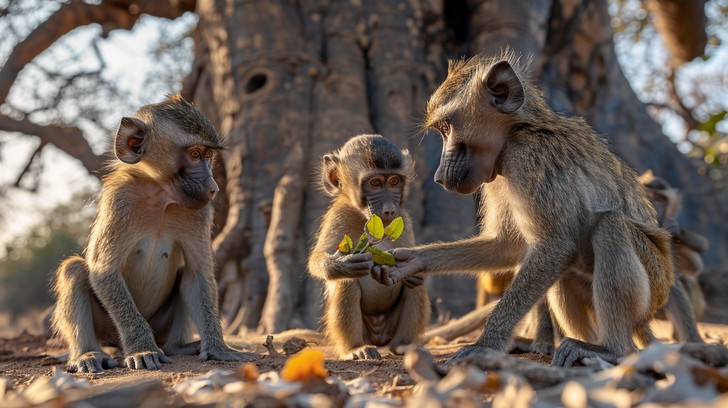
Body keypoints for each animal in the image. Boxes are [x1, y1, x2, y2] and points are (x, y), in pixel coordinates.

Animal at [51, 94, 254, 373]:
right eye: (194, 154)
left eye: (209, 155)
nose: (213, 187)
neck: (160, 196)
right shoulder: (120, 199)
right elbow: (104, 272)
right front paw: (142, 349)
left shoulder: (199, 212)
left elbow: (197, 274)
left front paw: (218, 348)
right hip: (107, 327)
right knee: (74, 269)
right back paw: (88, 354)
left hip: (161, 326)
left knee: (184, 276)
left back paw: (179, 347)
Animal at [307, 134, 431, 360]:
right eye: (375, 183)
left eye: (394, 181)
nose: (389, 210)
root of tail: (378, 335)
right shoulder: (338, 215)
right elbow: (318, 259)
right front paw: (340, 264)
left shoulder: (403, 218)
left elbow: (411, 264)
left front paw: (414, 271)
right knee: (346, 283)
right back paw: (354, 349)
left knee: (415, 286)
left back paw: (404, 346)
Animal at [370, 51, 674, 367]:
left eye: (447, 128)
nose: (439, 177)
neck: (517, 131)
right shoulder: (495, 175)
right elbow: (509, 246)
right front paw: (411, 261)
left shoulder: (525, 157)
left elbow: (554, 246)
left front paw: (485, 344)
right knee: (565, 273)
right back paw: (582, 344)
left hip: (655, 285)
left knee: (610, 226)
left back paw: (611, 350)